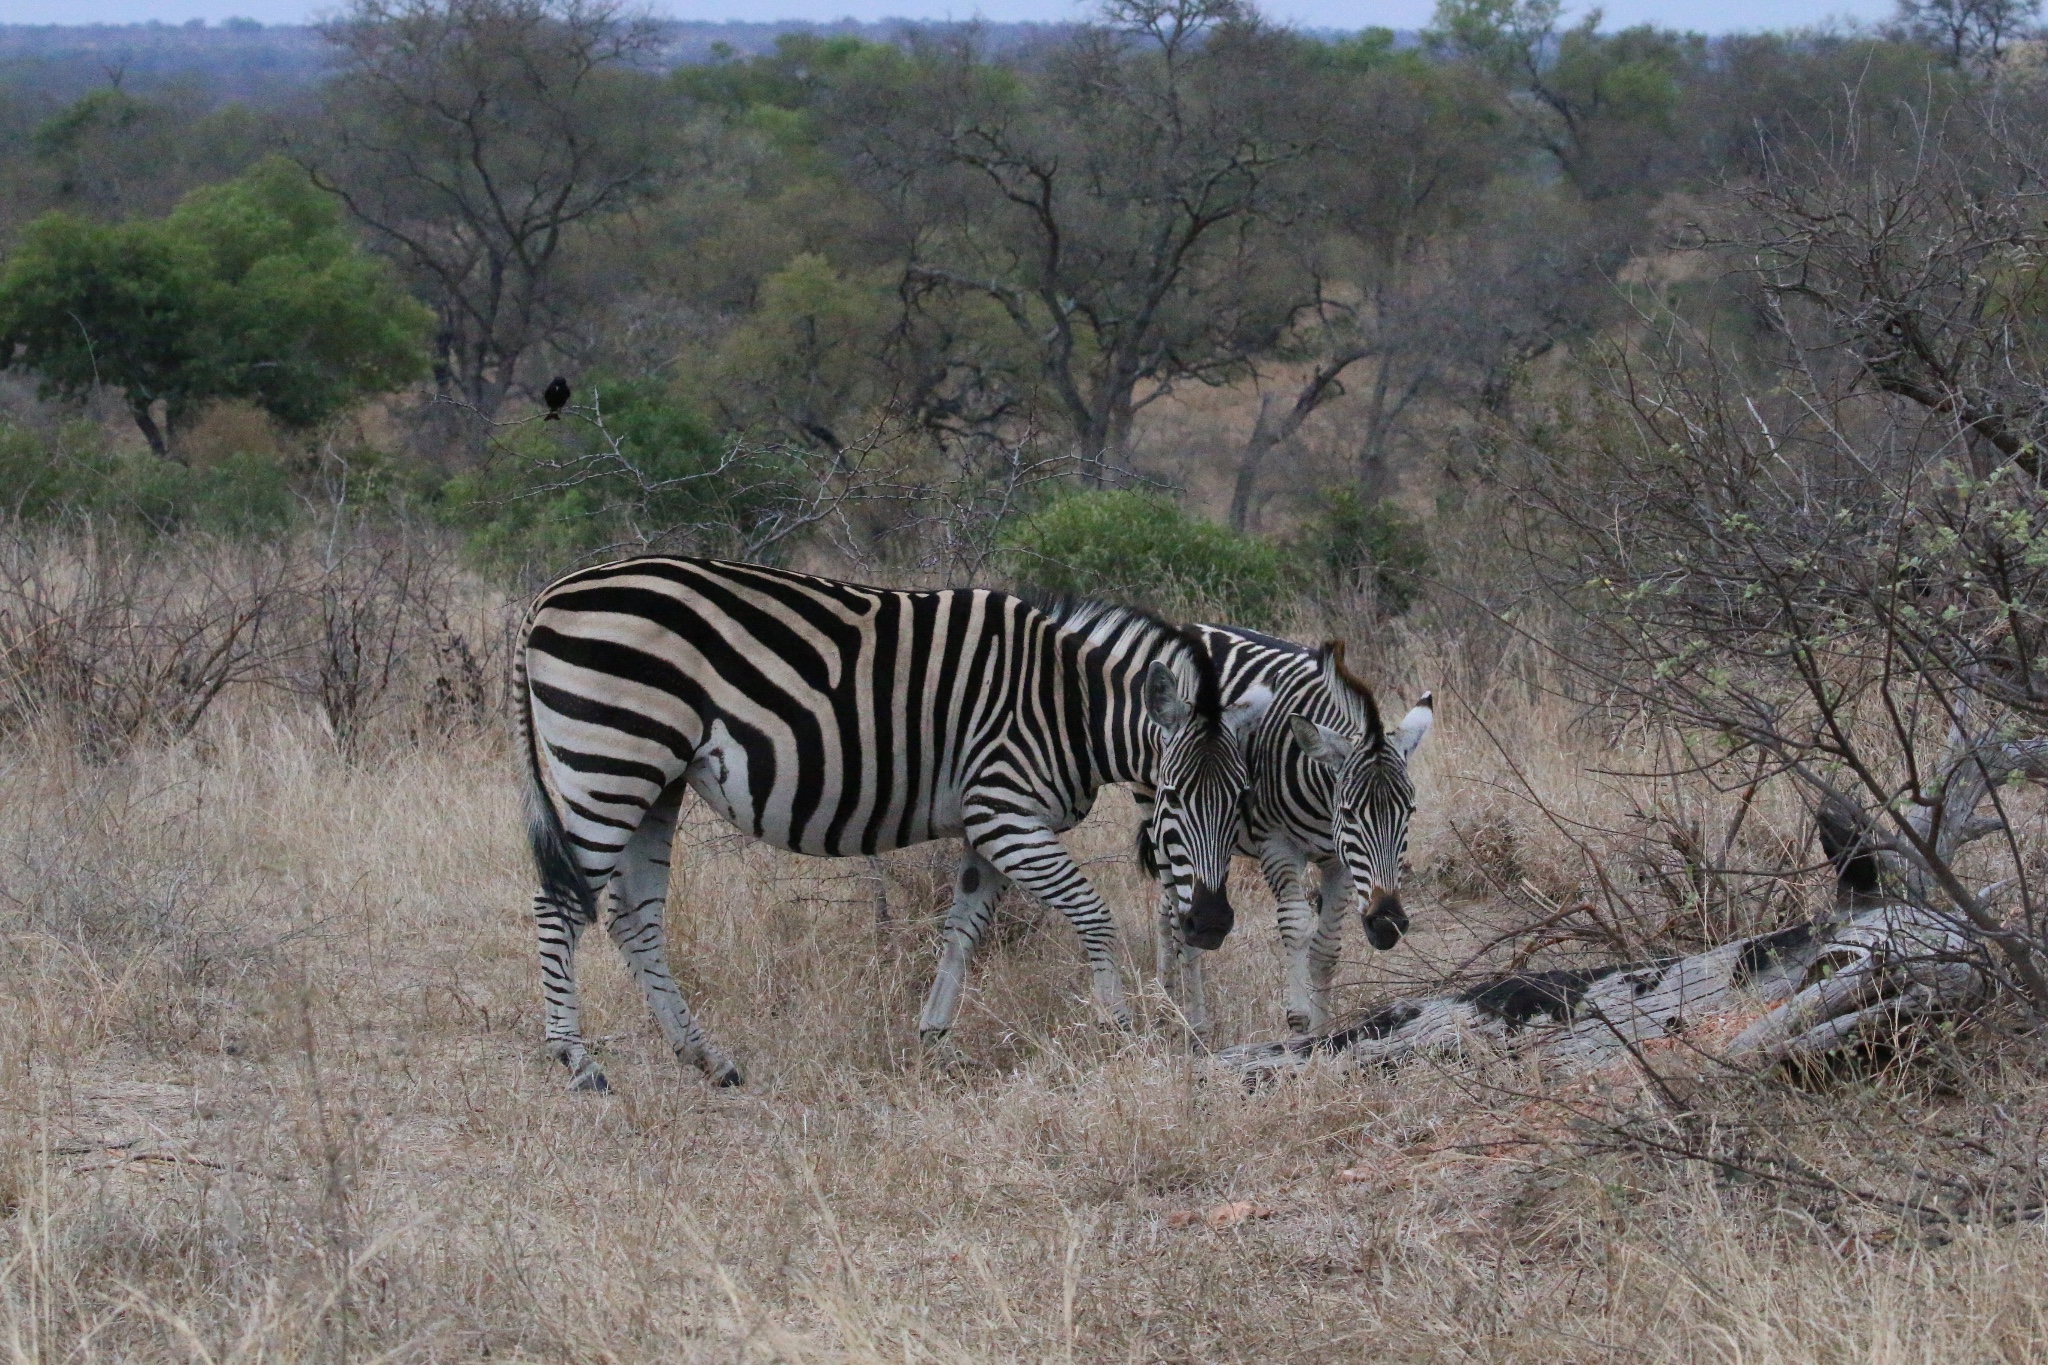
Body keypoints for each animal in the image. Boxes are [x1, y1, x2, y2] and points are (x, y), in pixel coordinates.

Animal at [520, 556, 1269, 1088]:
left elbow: (963, 929)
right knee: (560, 904)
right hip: (610, 765)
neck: (1067, 705)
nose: (1212, 925)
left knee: (634, 919)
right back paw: (578, 1062)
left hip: (656, 782)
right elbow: (1094, 915)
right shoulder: (1005, 812)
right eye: (1170, 797)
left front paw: (934, 1038)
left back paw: (706, 1058)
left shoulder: (990, 828)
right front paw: (1120, 1024)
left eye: (1240, 799)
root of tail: (551, 592)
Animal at [1146, 630, 1433, 1035]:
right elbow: (1296, 926)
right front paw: (1299, 1022)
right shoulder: (1277, 846)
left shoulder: (1340, 861)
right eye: (1349, 813)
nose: (1387, 925)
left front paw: (1323, 1033)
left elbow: (1327, 947)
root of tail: (1196, 628)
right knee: (1176, 915)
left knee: (1166, 908)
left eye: (1409, 811)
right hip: (1162, 821)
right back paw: (1192, 1022)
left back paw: (1165, 998)